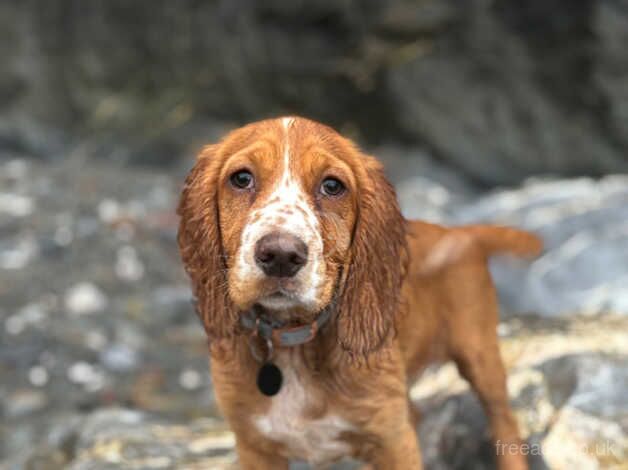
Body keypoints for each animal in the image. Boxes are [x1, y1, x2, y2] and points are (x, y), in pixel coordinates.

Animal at [177, 115, 540, 468]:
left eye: (332, 186)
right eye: (241, 179)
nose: (280, 255)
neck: (296, 342)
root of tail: (458, 232)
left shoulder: (393, 439)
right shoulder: (255, 446)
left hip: (479, 354)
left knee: (504, 422)